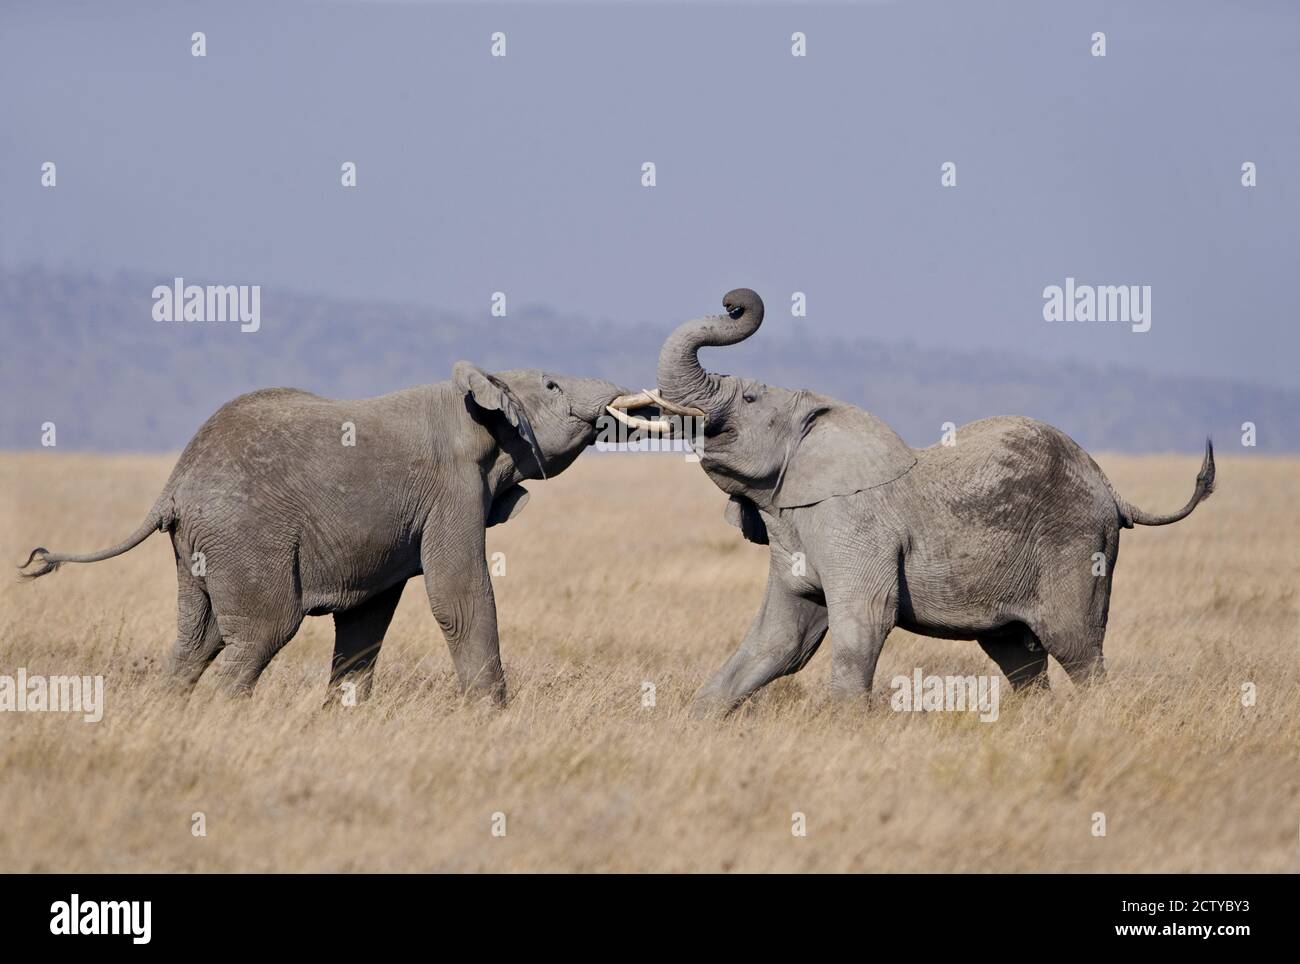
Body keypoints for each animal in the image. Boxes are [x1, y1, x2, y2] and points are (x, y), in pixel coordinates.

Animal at [22, 366, 642, 706]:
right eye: (553, 384)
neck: (476, 397)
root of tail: (173, 485)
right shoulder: (452, 489)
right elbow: (459, 597)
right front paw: (491, 720)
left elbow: (368, 618)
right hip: (246, 540)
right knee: (261, 633)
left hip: (199, 548)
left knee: (195, 640)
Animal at [608, 287, 1216, 717]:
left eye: (751, 398)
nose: (732, 301)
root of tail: (1112, 490)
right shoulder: (792, 528)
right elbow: (778, 642)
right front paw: (695, 724)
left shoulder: (851, 523)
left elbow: (863, 622)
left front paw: (846, 732)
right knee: (1020, 658)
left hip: (1079, 545)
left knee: (1077, 647)